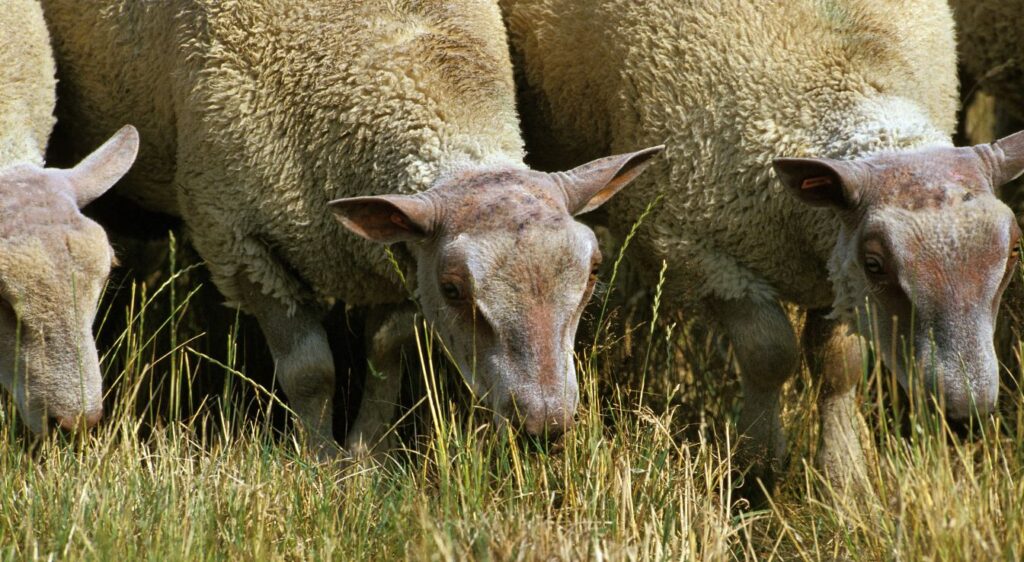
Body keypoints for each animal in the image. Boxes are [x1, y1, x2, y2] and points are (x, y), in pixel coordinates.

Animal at [41, 0, 661, 455]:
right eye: (454, 289)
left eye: (593, 273)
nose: (546, 424)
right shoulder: (240, 243)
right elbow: (310, 372)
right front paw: (318, 460)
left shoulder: (397, 261)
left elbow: (387, 354)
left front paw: (368, 454)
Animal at [501, 0, 1024, 489]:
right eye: (876, 263)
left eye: (1014, 252)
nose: (967, 416)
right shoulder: (699, 254)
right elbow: (769, 355)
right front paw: (758, 468)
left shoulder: (836, 274)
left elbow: (840, 367)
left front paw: (844, 476)